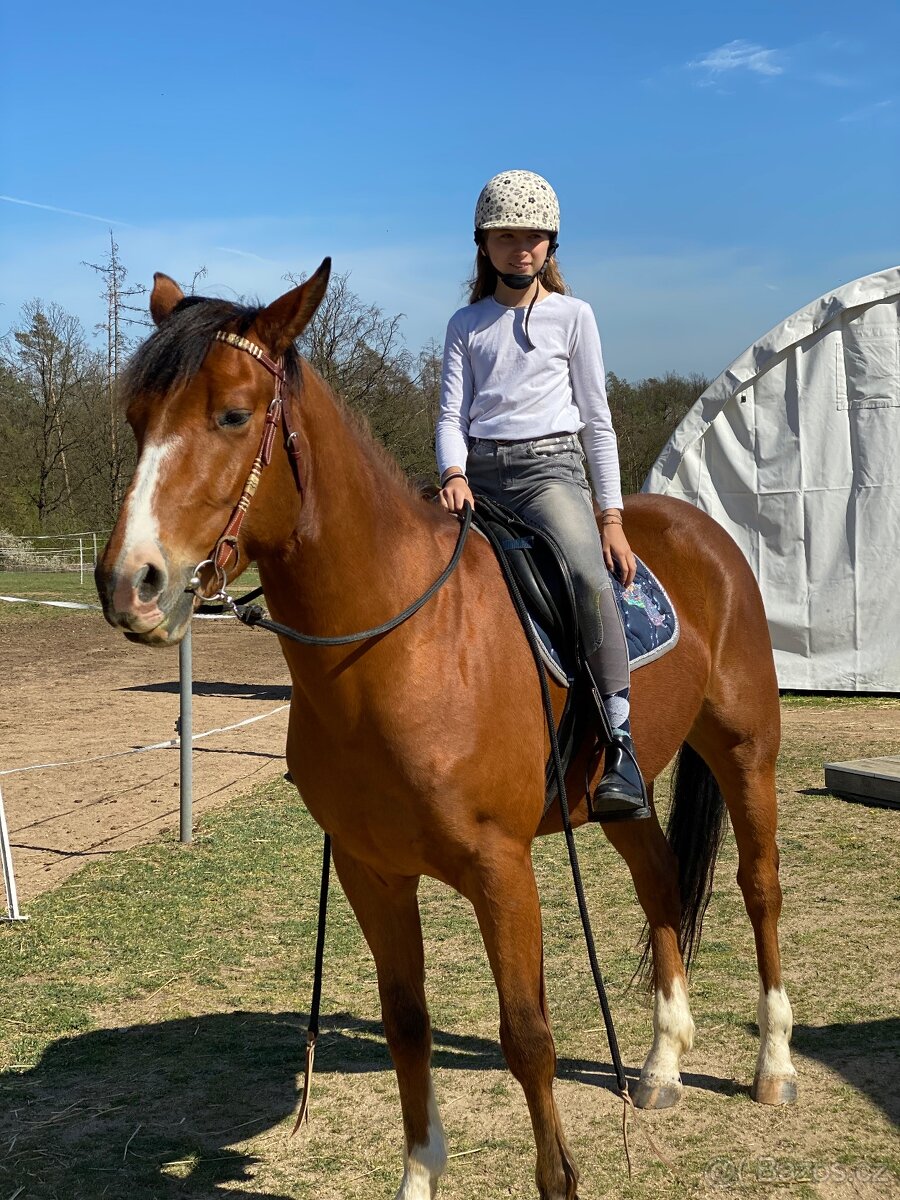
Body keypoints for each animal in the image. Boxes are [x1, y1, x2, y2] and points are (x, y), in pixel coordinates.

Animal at [95, 261, 797, 1200]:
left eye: (234, 415)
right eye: (138, 420)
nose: (128, 583)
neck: (399, 644)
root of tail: (704, 531)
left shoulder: (502, 871)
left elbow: (527, 1035)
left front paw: (559, 1178)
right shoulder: (373, 872)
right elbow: (407, 1025)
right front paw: (420, 1174)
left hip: (745, 751)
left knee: (760, 889)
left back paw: (773, 1065)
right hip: (622, 790)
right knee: (659, 884)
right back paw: (660, 1067)